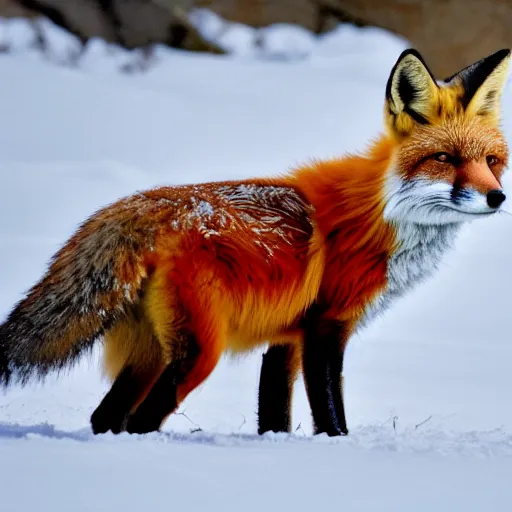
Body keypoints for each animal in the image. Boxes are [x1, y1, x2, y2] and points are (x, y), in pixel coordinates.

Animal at [1, 49, 512, 436]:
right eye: (445, 158)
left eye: (491, 161)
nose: (496, 197)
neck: (382, 214)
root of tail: (134, 208)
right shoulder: (326, 328)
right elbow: (331, 415)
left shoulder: (286, 337)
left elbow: (275, 416)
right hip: (198, 353)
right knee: (140, 420)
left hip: (149, 352)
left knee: (106, 416)